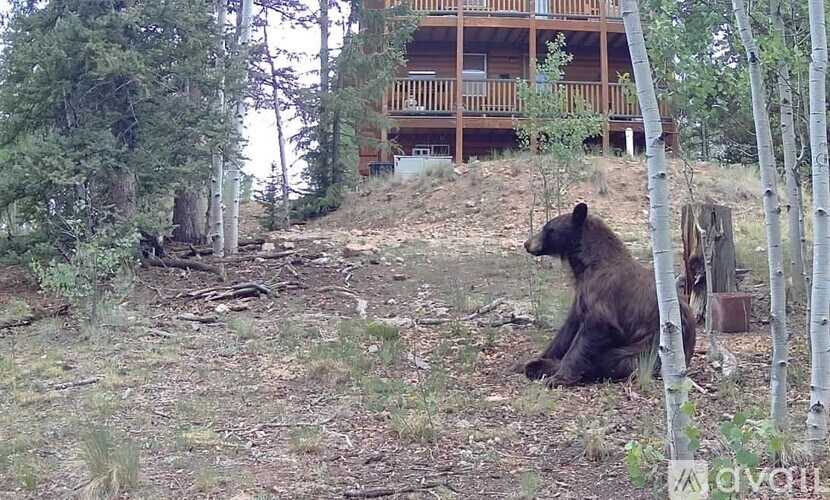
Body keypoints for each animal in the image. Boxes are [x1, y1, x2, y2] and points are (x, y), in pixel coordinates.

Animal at [521, 202, 696, 387]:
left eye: (548, 229)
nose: (527, 243)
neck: (587, 265)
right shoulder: (581, 295)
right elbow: (567, 330)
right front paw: (534, 360)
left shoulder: (602, 293)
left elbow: (598, 327)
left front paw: (559, 377)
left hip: (645, 350)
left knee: (611, 360)